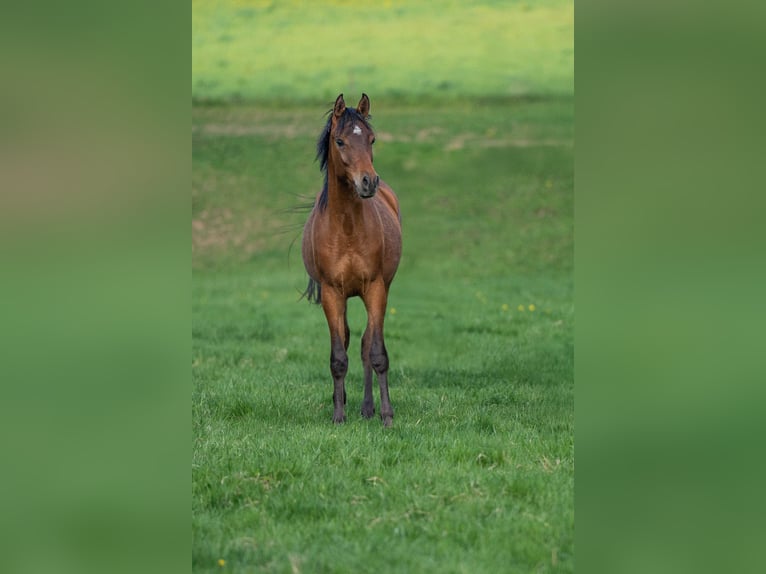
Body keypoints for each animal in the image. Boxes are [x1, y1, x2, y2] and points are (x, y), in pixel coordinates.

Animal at [302, 93, 402, 427]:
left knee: (364, 345)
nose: (368, 181)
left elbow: (376, 354)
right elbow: (338, 356)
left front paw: (386, 416)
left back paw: (369, 408)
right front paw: (338, 416)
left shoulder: (376, 288)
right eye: (340, 141)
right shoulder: (332, 293)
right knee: (346, 341)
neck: (346, 228)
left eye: (371, 139)